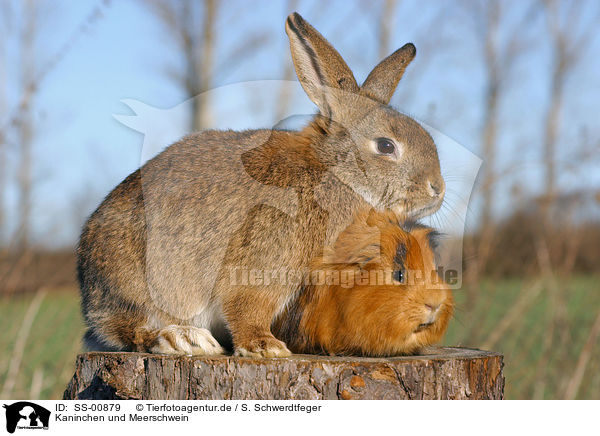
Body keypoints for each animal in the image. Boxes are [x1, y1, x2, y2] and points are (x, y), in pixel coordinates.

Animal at [76, 12, 446, 358]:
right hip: (137, 280)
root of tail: (88, 295)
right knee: (133, 330)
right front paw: (264, 347)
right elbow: (248, 305)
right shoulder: (266, 257)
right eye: (386, 146)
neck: (333, 172)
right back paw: (182, 339)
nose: (437, 189)